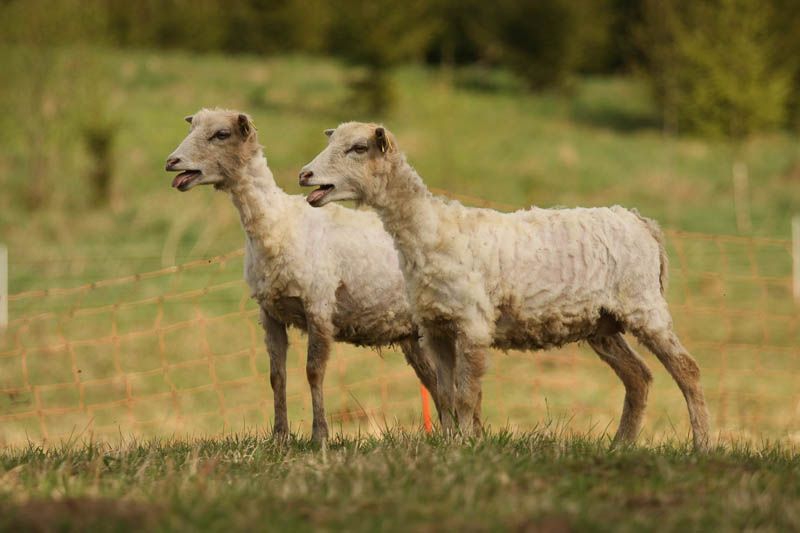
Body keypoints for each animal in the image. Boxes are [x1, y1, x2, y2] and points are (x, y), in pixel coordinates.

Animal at [166, 110, 454, 442]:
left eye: (221, 134)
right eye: (193, 128)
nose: (171, 161)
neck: (277, 224)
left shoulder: (318, 305)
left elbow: (313, 372)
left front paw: (320, 435)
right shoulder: (269, 312)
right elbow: (276, 376)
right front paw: (279, 436)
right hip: (414, 335)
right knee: (435, 380)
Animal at [300, 121, 712, 448]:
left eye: (358, 148)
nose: (305, 175)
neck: (430, 230)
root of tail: (641, 221)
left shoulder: (472, 324)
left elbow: (466, 397)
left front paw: (468, 445)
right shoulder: (437, 327)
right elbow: (445, 395)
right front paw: (450, 446)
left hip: (644, 304)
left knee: (688, 370)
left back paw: (701, 445)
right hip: (603, 323)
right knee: (638, 377)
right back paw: (620, 445)